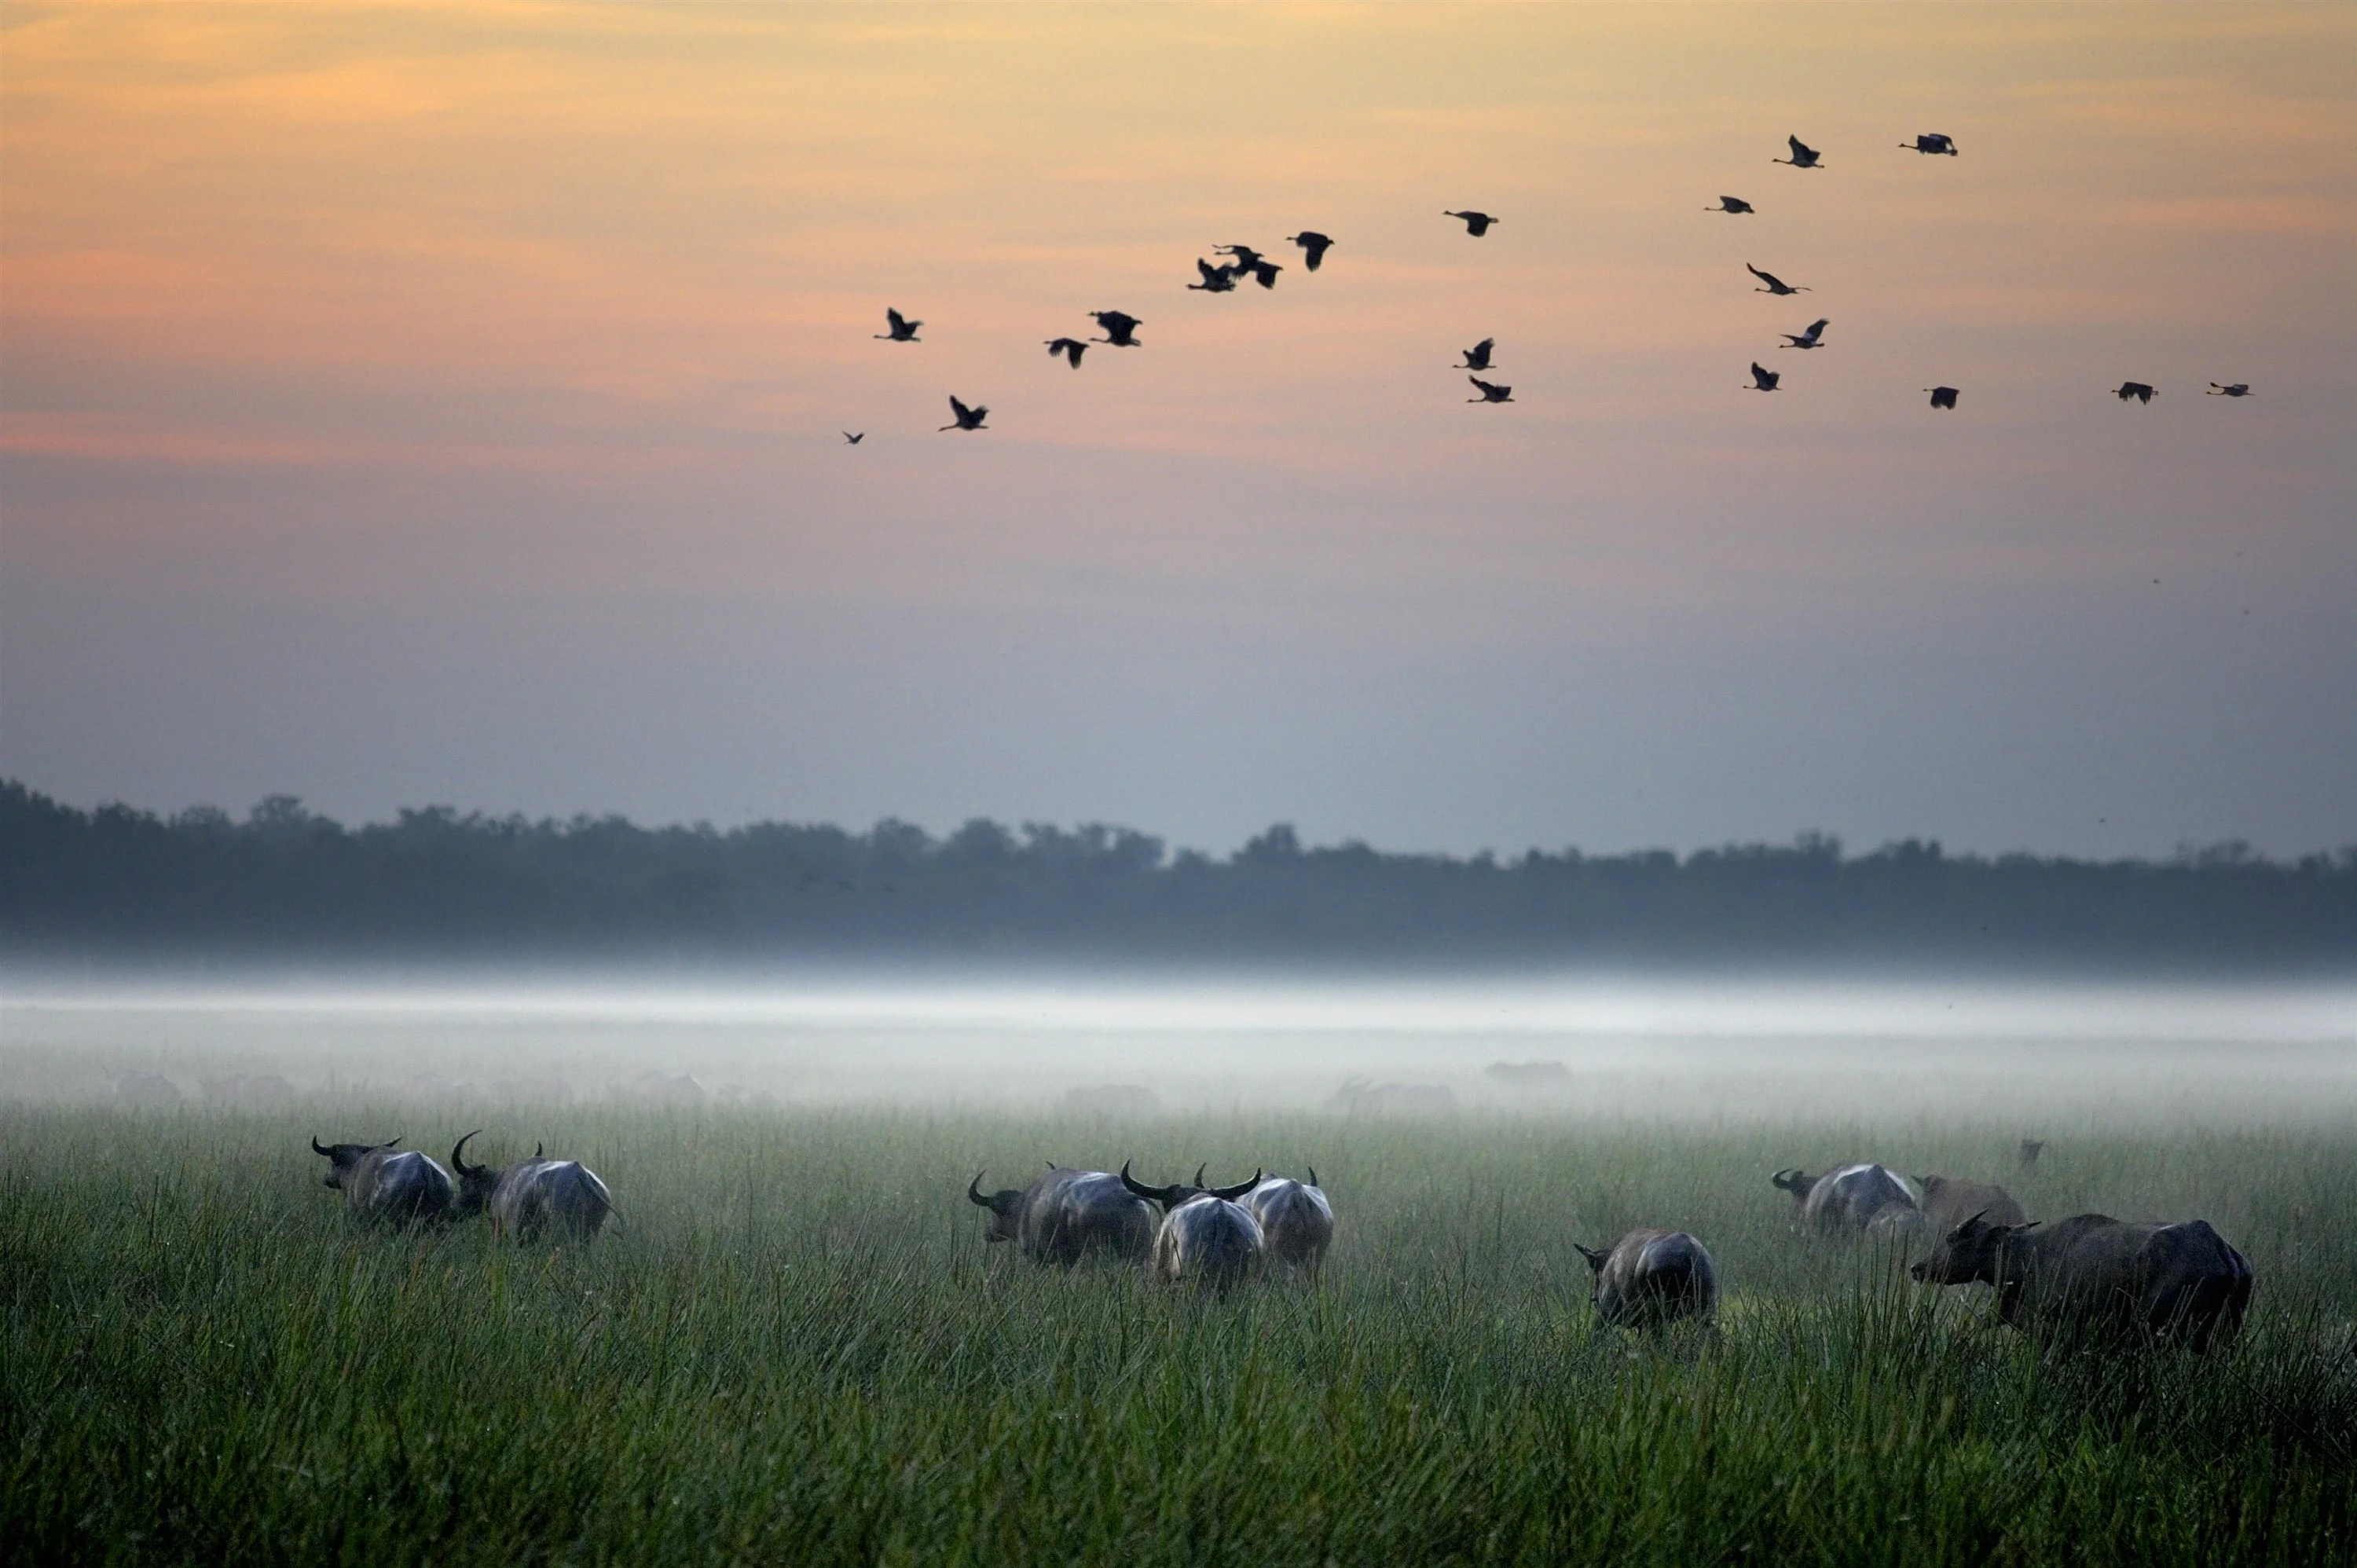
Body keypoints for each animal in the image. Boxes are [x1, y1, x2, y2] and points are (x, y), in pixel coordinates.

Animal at [967, 1164, 1156, 1266]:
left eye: (994, 1211)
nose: (988, 1233)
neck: (1022, 1207)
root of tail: (1126, 1196)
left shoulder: (1036, 1257)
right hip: (1138, 1253)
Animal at [1573, 1229, 1719, 1328]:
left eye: (1595, 1272)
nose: (1595, 1299)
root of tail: (1690, 1252)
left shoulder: (1607, 1313)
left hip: (1657, 1312)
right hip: (1705, 1310)